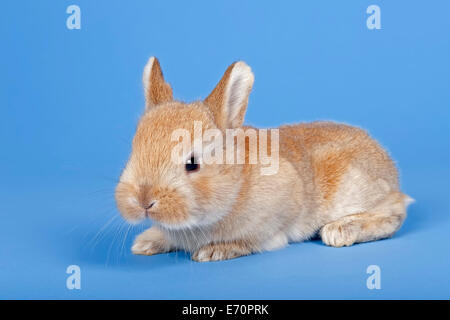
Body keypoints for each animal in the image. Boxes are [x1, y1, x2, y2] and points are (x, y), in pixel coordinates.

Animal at [114, 57, 414, 262]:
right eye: (133, 152)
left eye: (192, 163)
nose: (143, 201)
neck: (236, 185)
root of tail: (391, 170)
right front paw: (146, 243)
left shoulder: (276, 214)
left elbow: (253, 240)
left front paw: (216, 251)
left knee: (394, 214)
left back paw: (340, 230)